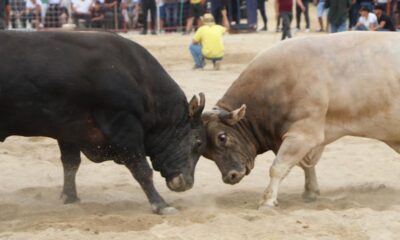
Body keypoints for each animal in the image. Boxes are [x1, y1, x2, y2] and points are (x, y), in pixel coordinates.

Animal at [0, 31, 206, 215]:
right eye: (198, 143)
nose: (187, 183)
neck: (137, 75)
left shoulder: (69, 128)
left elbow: (71, 163)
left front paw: (70, 197)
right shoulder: (123, 125)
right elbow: (141, 169)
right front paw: (161, 205)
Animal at [202, 31, 400, 208]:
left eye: (222, 137)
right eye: (206, 153)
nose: (230, 176)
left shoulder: (303, 134)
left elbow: (278, 167)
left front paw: (267, 200)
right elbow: (305, 166)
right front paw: (310, 192)